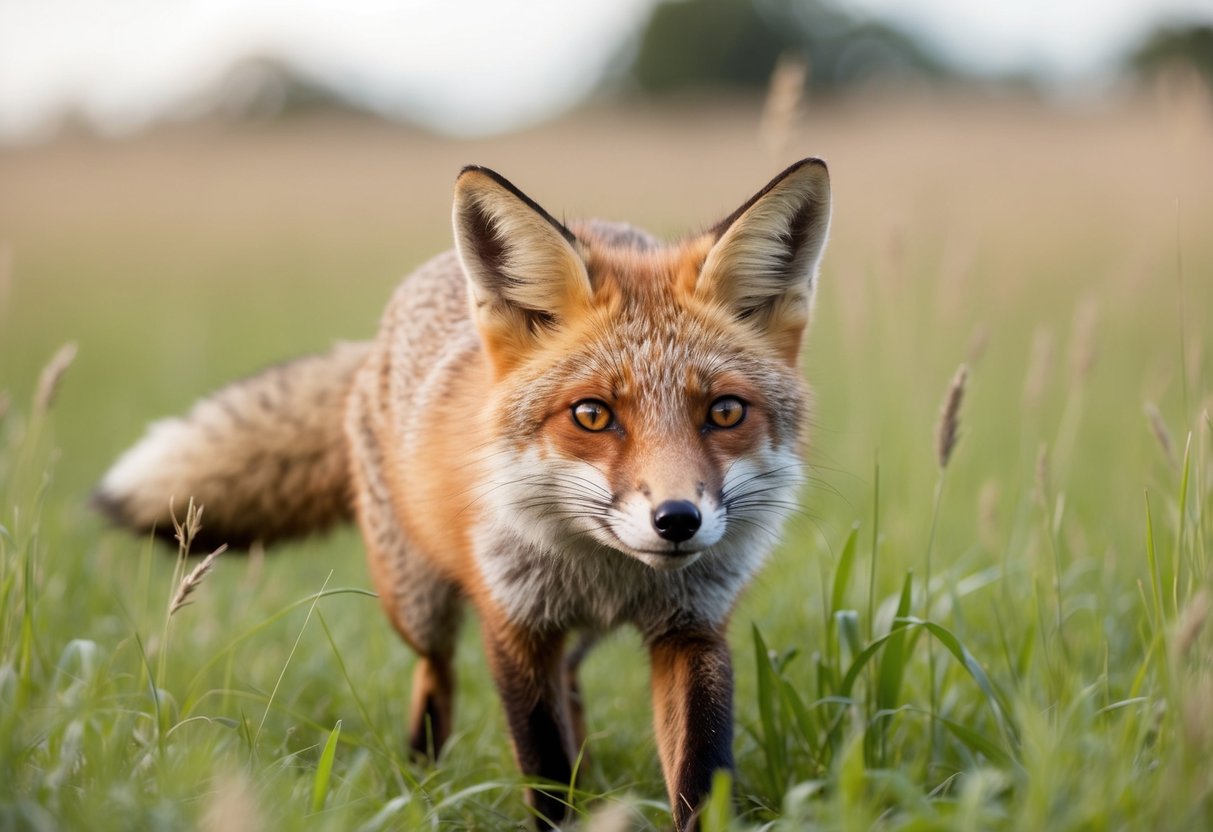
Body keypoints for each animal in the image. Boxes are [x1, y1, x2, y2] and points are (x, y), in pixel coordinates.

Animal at [95, 158, 832, 830]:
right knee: (436, 672)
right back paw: (424, 775)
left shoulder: (694, 629)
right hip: (416, 602)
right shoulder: (514, 623)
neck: (607, 573)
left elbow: (699, 776)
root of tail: (374, 342)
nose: (677, 520)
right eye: (592, 415)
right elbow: (544, 771)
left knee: (570, 687)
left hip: (573, 638)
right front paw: (562, 810)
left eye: (725, 413)